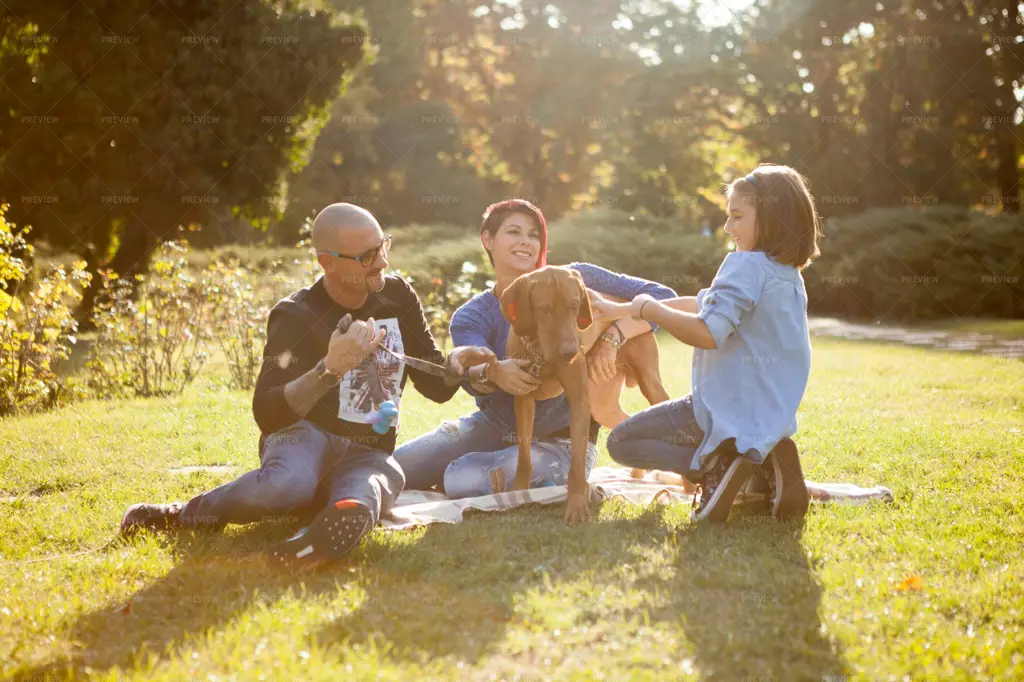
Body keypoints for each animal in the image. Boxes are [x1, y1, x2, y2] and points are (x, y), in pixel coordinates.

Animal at [497, 264, 675, 520]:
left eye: (574, 305)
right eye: (544, 309)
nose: (571, 352)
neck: (540, 352)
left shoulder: (579, 401)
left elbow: (577, 464)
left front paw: (577, 505)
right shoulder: (523, 399)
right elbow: (523, 455)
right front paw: (518, 492)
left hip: (649, 385)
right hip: (602, 406)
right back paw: (637, 473)